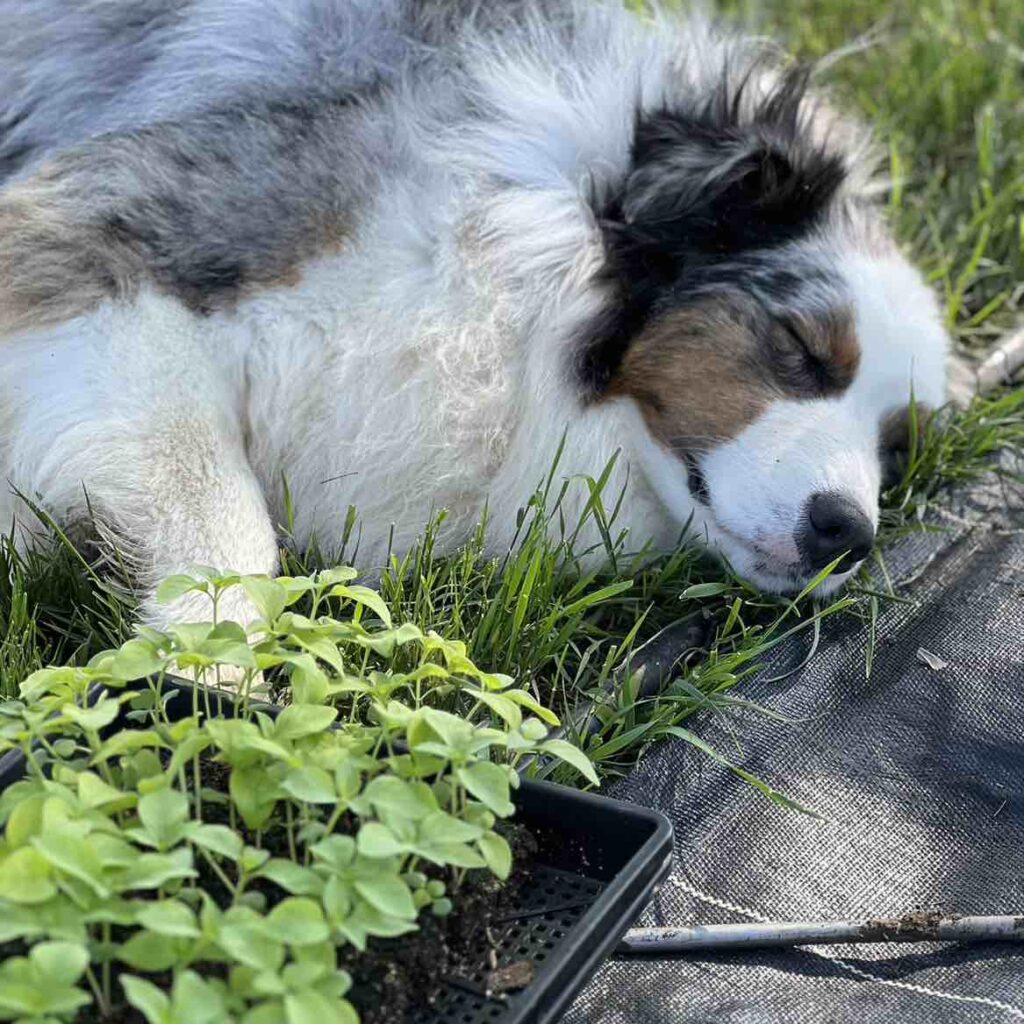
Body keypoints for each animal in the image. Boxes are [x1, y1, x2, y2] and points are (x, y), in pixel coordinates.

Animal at [0, 0, 946, 622]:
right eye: (799, 348)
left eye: (895, 449)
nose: (848, 534)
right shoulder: (100, 240)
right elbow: (227, 522)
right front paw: (207, 700)